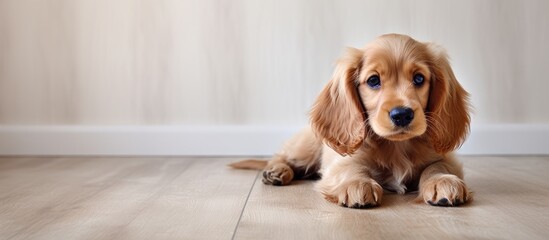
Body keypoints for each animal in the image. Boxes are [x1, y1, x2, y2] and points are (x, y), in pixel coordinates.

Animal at [231, 33, 470, 208]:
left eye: (419, 78)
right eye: (373, 80)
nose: (402, 114)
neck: (397, 147)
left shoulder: (445, 157)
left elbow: (437, 166)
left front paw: (443, 181)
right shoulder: (342, 161)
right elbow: (353, 168)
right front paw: (358, 184)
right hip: (305, 147)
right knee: (281, 156)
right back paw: (277, 171)